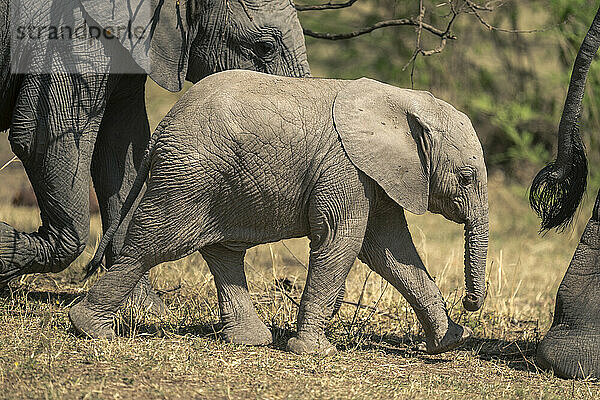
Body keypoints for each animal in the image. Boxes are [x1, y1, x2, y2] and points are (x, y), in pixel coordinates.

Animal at [70, 70, 488, 354]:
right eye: (466, 178)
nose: (470, 302)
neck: (401, 100)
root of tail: (164, 126)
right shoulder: (344, 166)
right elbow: (342, 240)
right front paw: (314, 352)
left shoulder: (379, 173)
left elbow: (391, 250)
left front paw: (450, 342)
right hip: (189, 173)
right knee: (156, 242)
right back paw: (90, 329)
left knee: (221, 250)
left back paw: (250, 341)